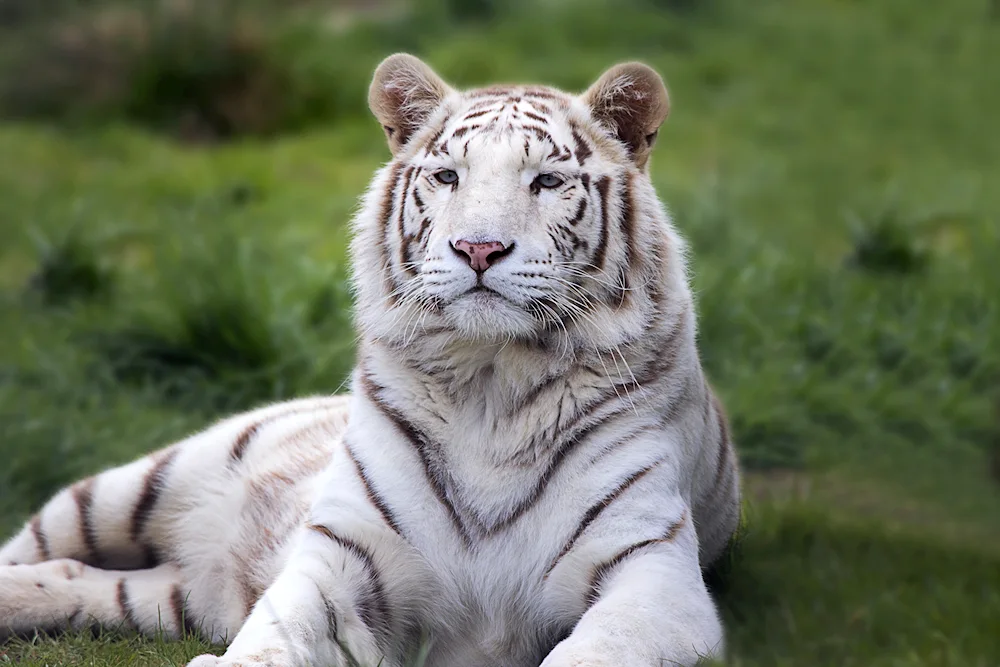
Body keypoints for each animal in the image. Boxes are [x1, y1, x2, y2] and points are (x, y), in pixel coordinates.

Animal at [1, 54, 744, 664]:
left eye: (547, 181)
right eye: (447, 176)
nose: (478, 248)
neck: (493, 382)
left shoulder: (653, 575)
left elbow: (596, 651)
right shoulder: (343, 557)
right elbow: (274, 635)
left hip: (170, 594)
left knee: (77, 579)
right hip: (133, 486)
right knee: (36, 546)